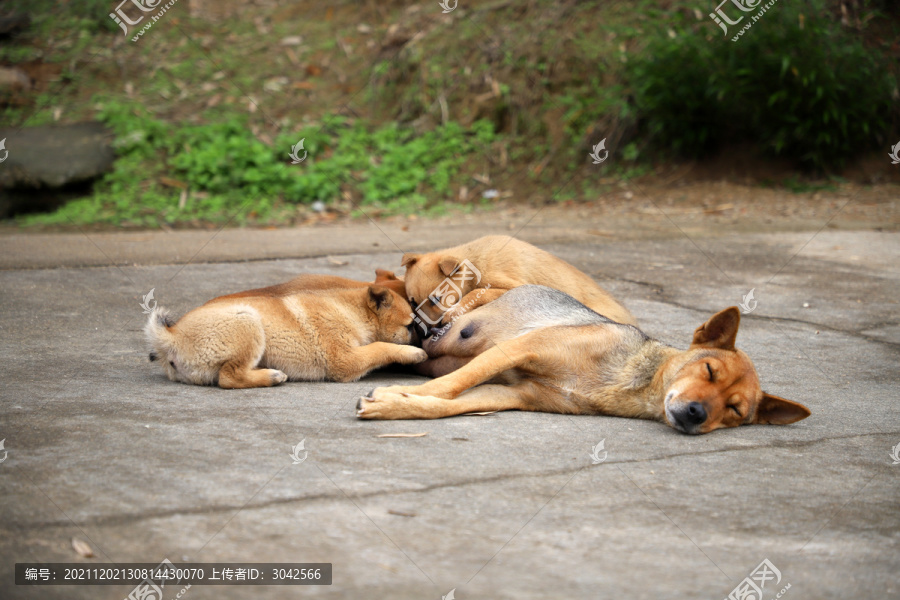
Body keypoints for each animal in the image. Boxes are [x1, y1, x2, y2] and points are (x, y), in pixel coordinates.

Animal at [146, 270, 428, 386]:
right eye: (410, 326)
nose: (426, 339)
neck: (351, 312)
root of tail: (170, 337)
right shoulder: (345, 360)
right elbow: (380, 347)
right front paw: (412, 353)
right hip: (248, 321)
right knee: (229, 377)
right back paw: (270, 377)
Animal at [356, 284, 812, 434]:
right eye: (710, 369)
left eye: (733, 411)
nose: (697, 414)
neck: (627, 377)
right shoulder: (520, 348)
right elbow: (449, 386)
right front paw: (395, 394)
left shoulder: (515, 395)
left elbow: (444, 404)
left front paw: (396, 405)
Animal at [404, 234, 636, 330]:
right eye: (413, 302)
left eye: (436, 299)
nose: (423, 334)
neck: (476, 262)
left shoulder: (512, 284)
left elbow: (475, 294)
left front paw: (455, 310)